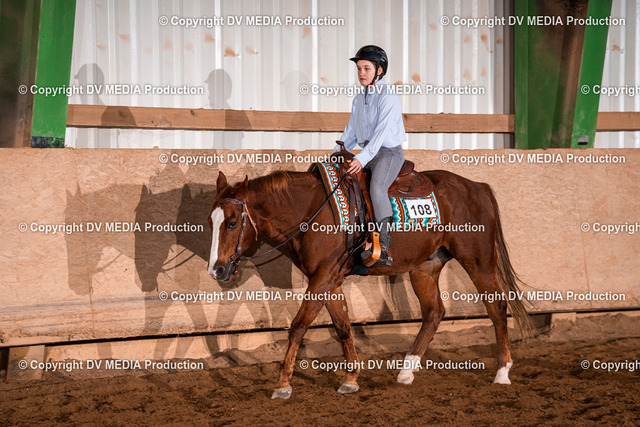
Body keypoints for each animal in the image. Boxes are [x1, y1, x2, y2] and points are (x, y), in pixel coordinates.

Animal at [207, 167, 531, 399]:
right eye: (211, 221)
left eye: (233, 222)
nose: (217, 270)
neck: (312, 211)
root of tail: (478, 187)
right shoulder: (329, 279)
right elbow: (342, 325)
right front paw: (350, 379)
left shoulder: (323, 277)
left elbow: (298, 325)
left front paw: (282, 384)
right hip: (425, 268)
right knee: (434, 313)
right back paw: (406, 370)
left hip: (478, 262)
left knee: (496, 307)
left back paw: (502, 372)